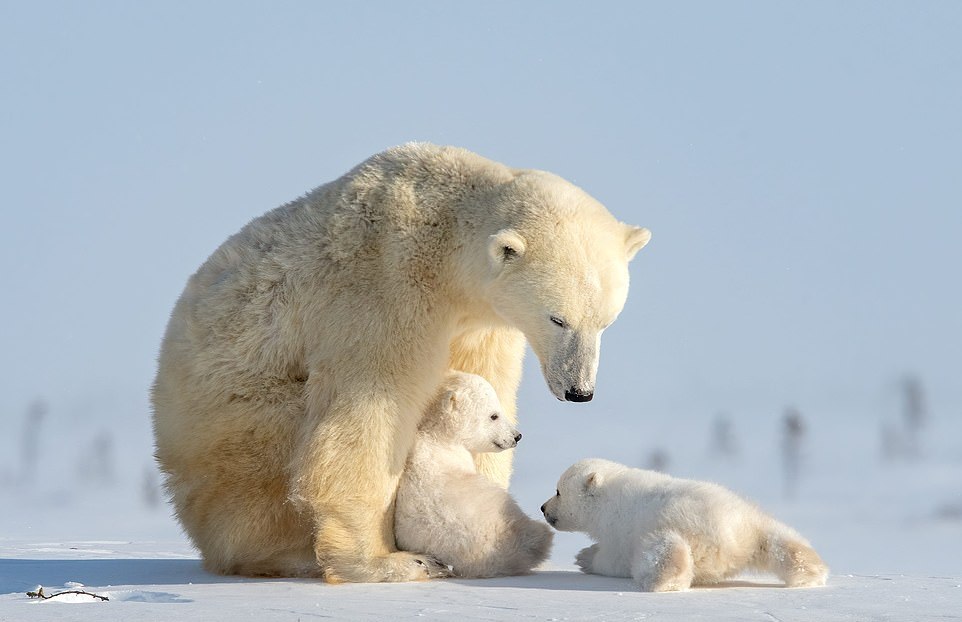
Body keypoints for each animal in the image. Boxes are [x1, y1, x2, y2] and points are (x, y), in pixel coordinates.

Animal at [540, 460, 824, 592]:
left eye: (558, 491)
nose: (543, 508)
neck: (607, 496)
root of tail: (730, 543)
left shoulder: (618, 528)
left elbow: (614, 560)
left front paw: (585, 557)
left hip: (677, 528)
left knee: (664, 552)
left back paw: (663, 581)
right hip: (754, 524)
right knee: (782, 541)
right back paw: (812, 572)